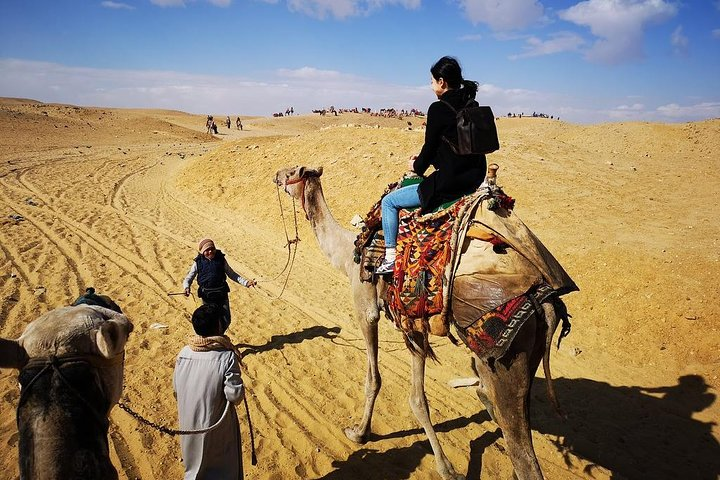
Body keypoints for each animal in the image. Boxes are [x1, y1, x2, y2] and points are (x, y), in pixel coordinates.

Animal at [274, 165, 576, 480]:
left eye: (290, 172)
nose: (276, 176)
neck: (347, 255)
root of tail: (546, 301)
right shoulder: (415, 324)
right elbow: (418, 399)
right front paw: (447, 468)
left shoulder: (365, 305)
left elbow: (373, 379)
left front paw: (359, 432)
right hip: (530, 352)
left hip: (505, 357)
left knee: (522, 452)